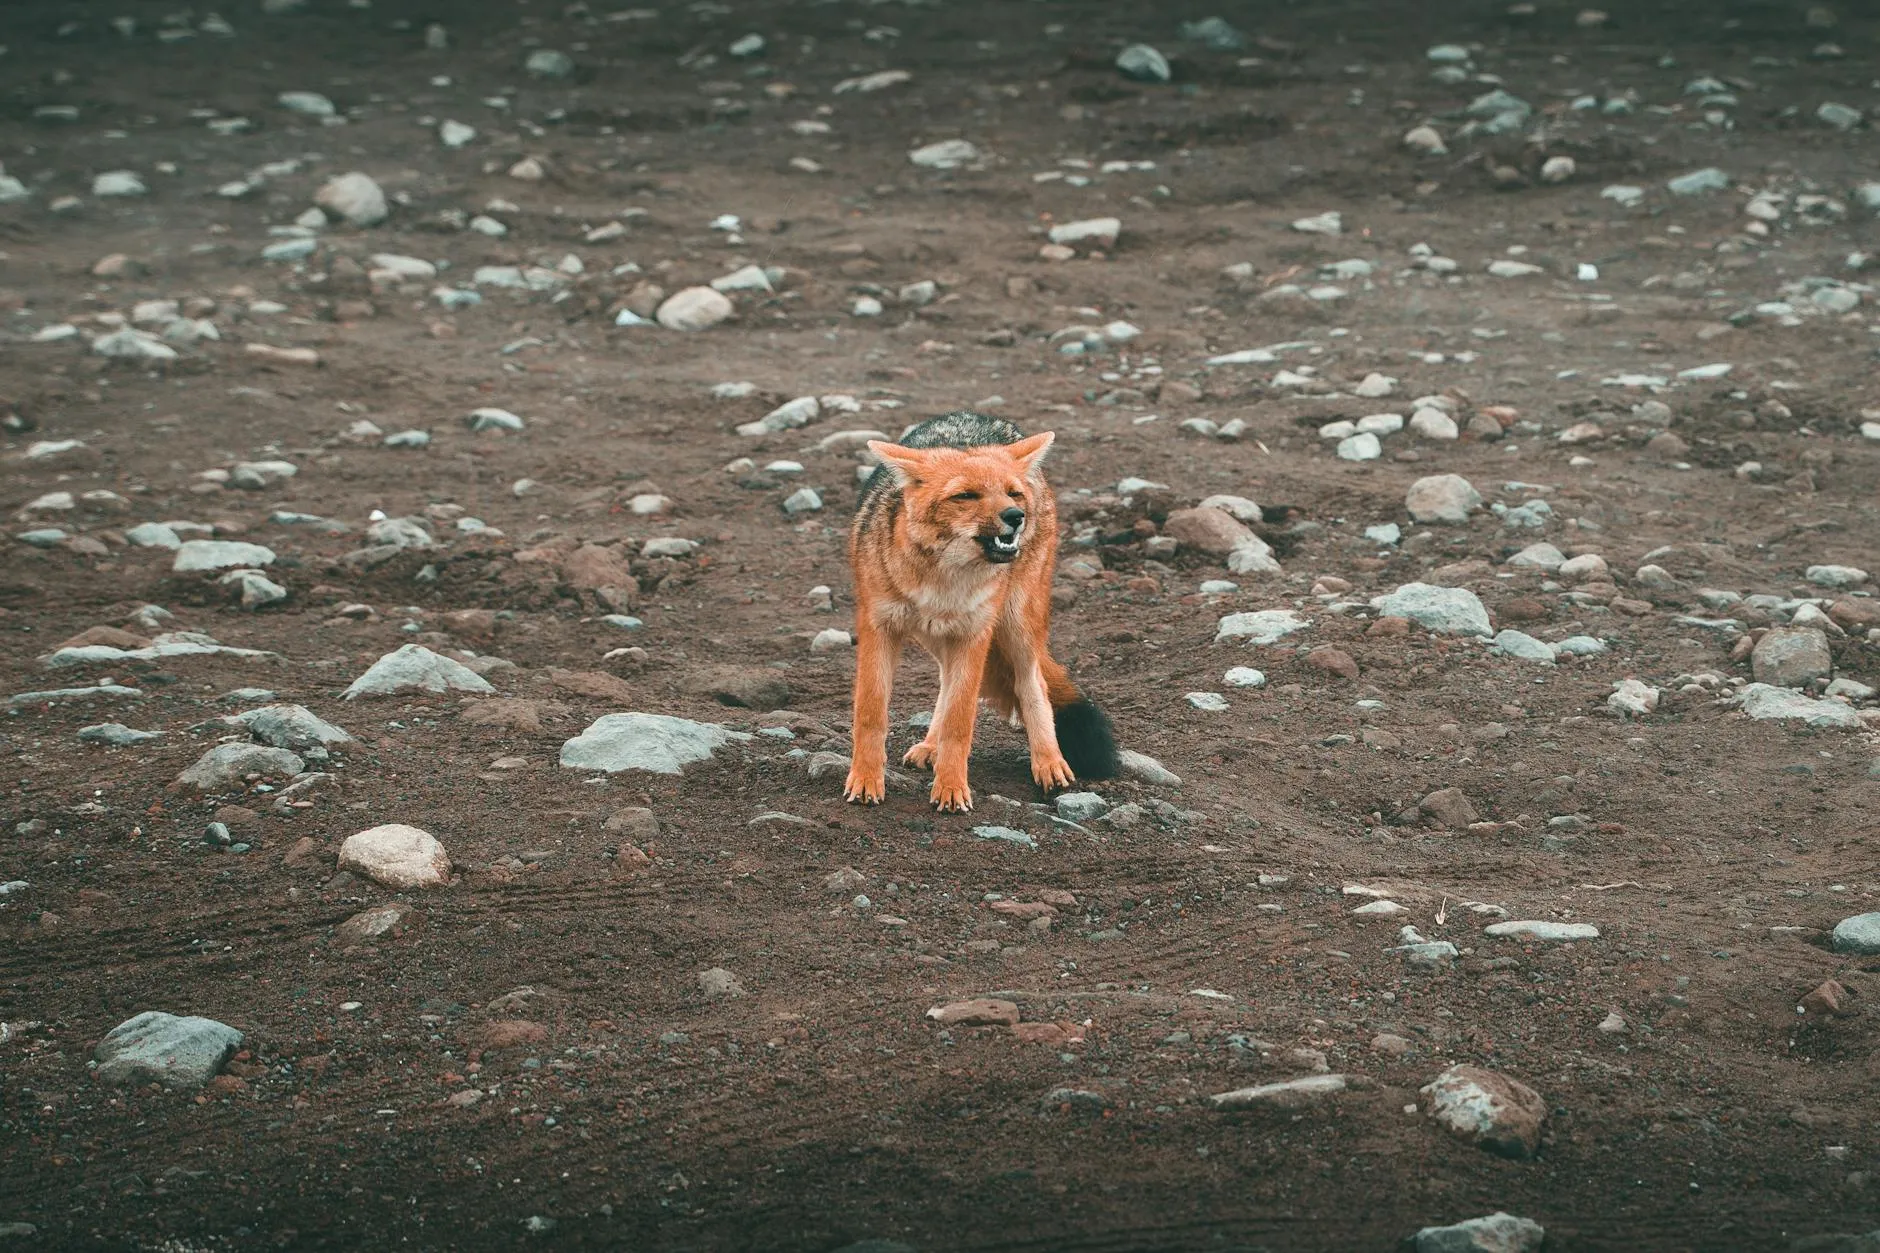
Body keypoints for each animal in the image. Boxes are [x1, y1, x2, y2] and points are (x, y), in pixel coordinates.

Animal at [843, 411, 1119, 813]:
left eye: (1011, 492)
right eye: (965, 496)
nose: (1015, 516)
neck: (942, 584)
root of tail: (982, 418)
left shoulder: (975, 634)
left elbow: (960, 721)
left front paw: (952, 787)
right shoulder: (879, 629)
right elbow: (871, 713)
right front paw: (865, 780)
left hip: (1015, 627)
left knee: (1033, 683)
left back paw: (1049, 762)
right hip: (937, 638)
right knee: (946, 683)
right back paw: (931, 747)